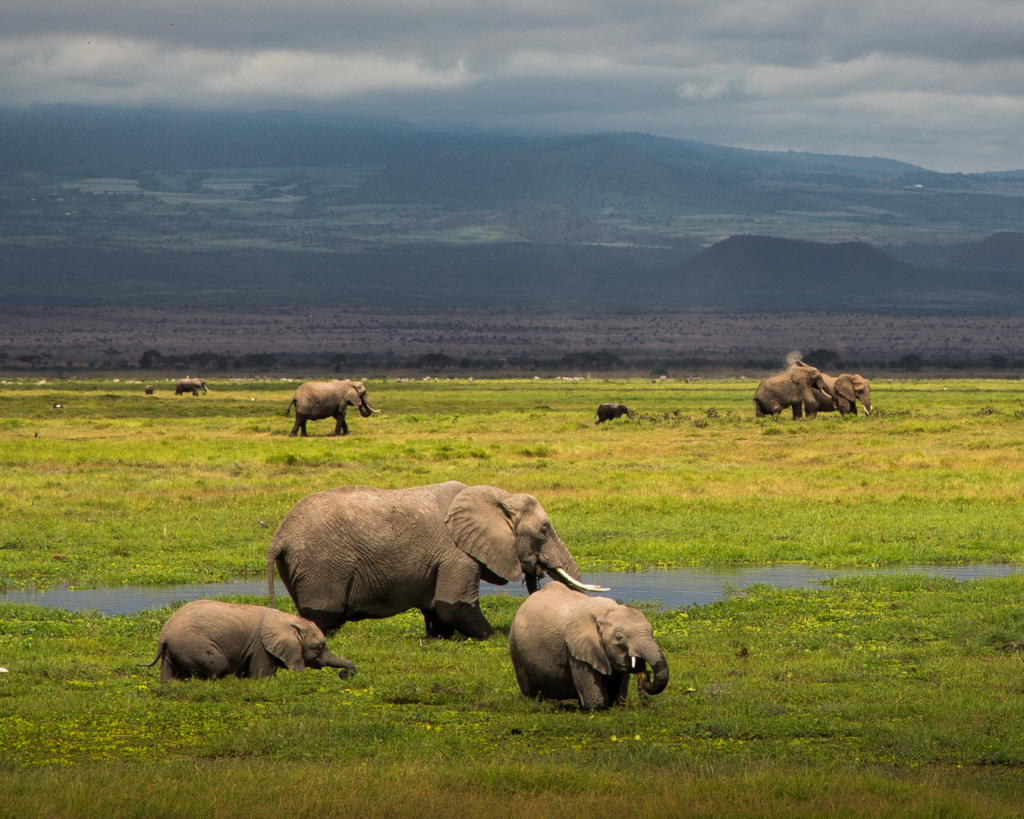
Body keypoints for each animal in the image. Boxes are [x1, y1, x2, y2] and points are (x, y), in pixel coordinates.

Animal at [268, 479, 610, 638]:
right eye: (543, 531)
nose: (536, 574)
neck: (495, 496)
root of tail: (278, 538)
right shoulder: (457, 555)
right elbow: (454, 607)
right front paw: (493, 637)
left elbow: (436, 609)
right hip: (322, 563)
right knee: (322, 616)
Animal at [507, 577, 667, 708]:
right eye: (619, 638)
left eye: (652, 633)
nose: (644, 677)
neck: (607, 612)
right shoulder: (576, 650)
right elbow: (596, 703)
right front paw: (595, 706)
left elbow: (619, 694)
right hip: (514, 644)